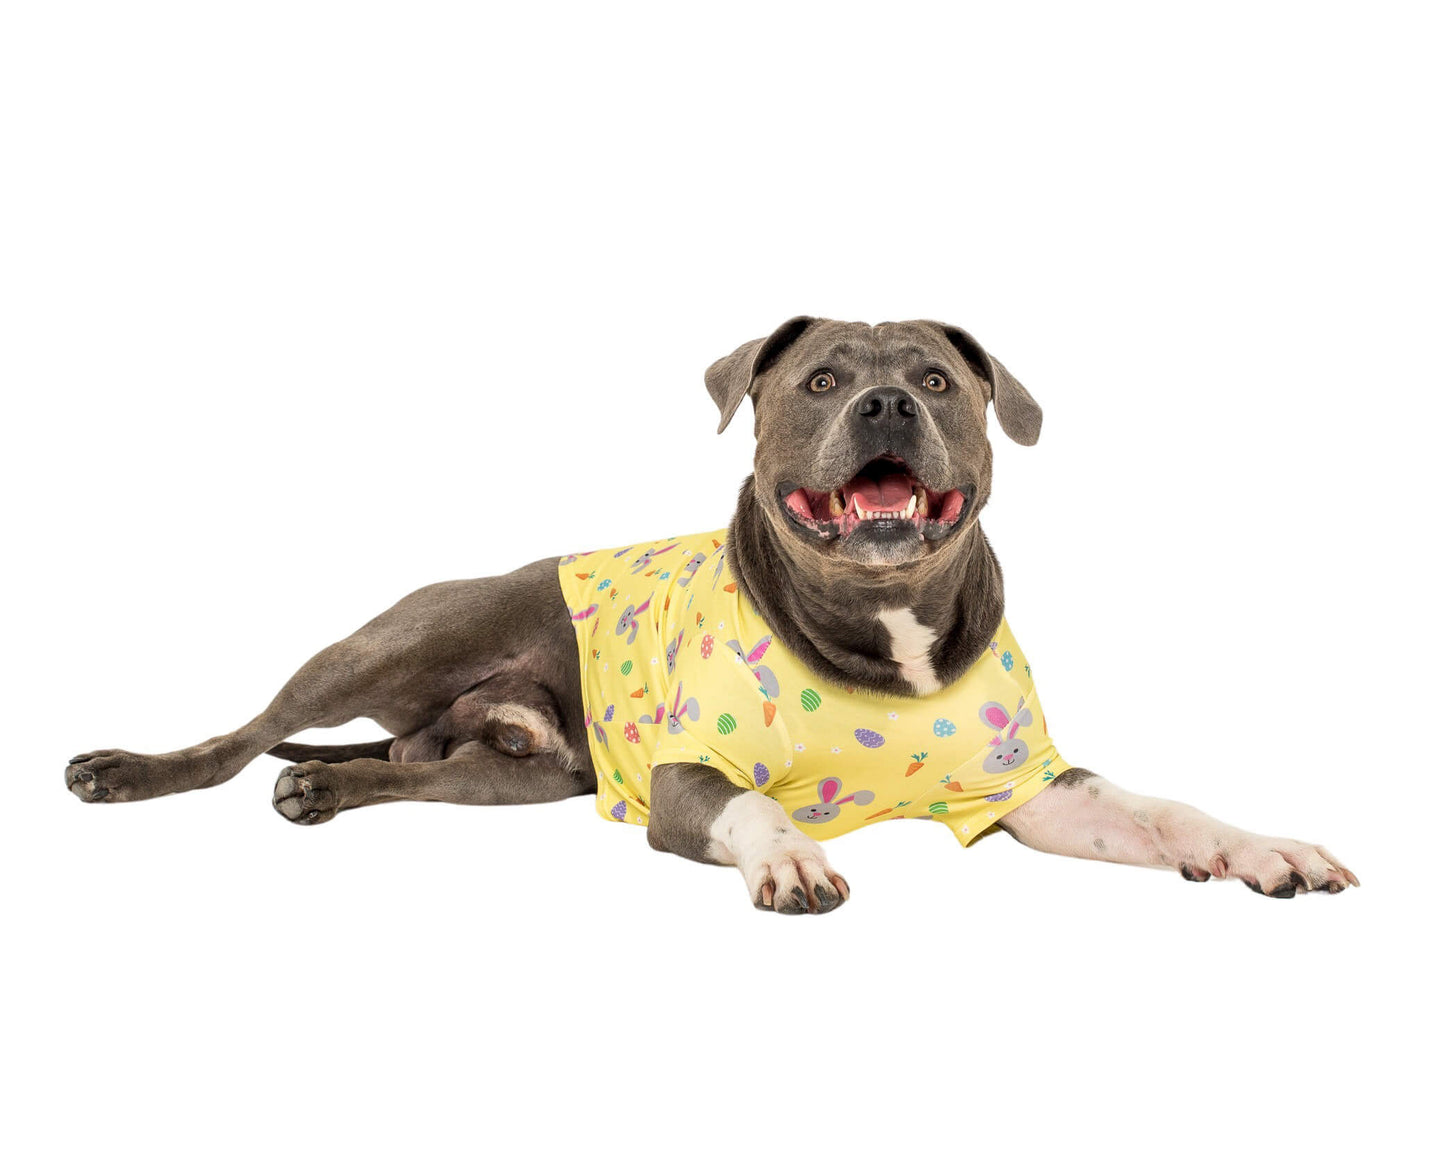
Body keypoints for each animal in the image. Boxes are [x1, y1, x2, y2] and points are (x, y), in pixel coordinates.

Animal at [65, 316, 1352, 913]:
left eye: (935, 381)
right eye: (821, 380)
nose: (886, 401)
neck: (880, 624)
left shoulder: (1023, 790)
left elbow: (1157, 808)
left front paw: (1257, 845)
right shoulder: (688, 775)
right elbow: (751, 807)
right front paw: (787, 856)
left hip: (513, 776)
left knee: (396, 770)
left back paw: (323, 788)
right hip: (388, 645)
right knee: (238, 737)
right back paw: (126, 771)